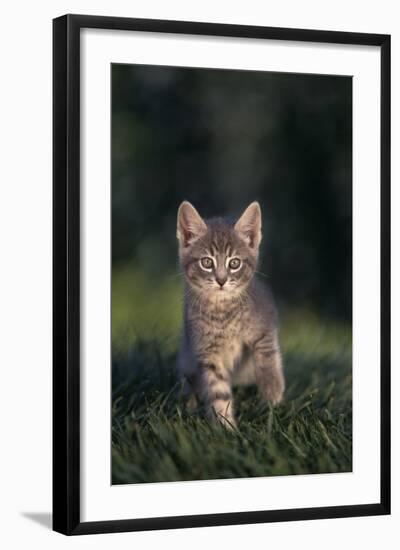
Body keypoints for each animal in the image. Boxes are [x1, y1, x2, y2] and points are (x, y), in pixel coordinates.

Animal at [176, 201, 284, 430]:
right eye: (207, 262)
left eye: (234, 263)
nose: (221, 280)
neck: (222, 311)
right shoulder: (207, 352)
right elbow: (217, 390)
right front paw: (225, 427)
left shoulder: (265, 320)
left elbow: (267, 354)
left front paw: (273, 392)